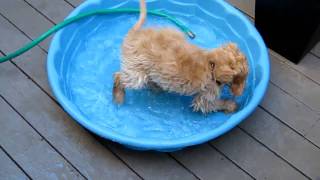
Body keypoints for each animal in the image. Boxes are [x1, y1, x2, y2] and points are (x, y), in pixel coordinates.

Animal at [114, 0, 249, 113]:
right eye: (242, 76)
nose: (240, 92)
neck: (211, 64)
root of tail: (134, 33)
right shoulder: (205, 98)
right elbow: (213, 104)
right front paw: (231, 105)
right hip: (136, 75)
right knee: (118, 76)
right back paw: (118, 97)